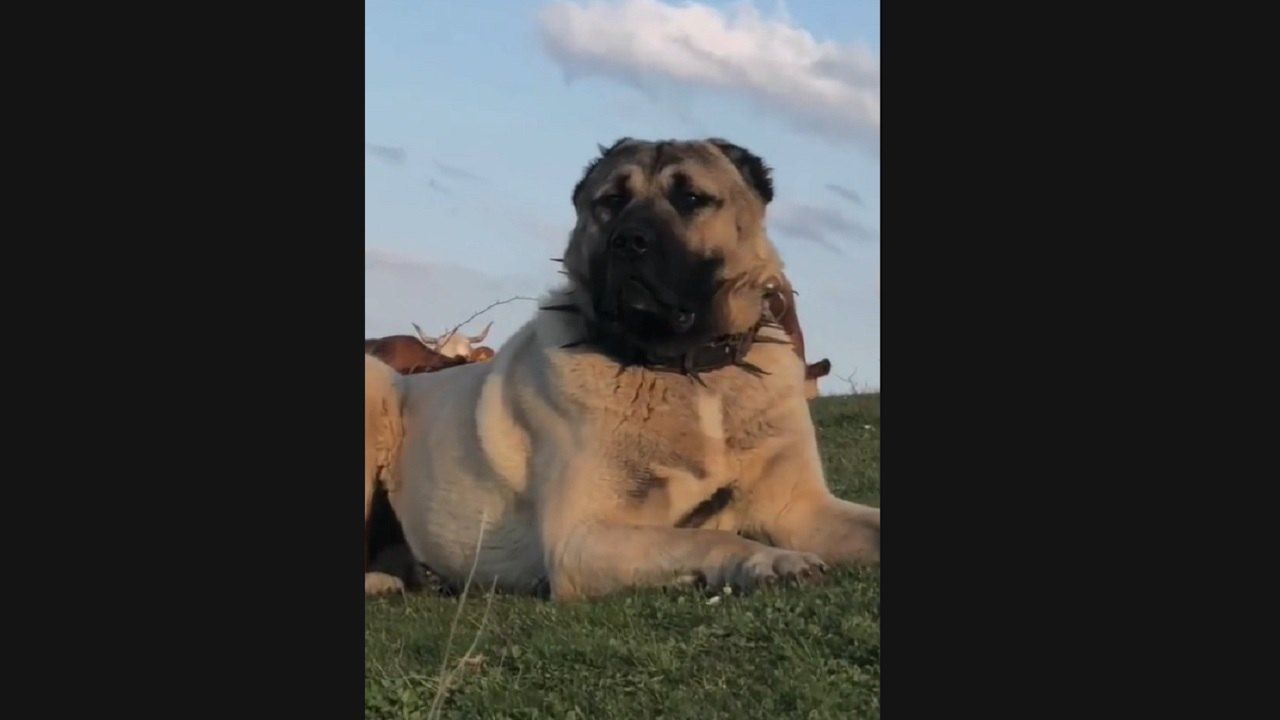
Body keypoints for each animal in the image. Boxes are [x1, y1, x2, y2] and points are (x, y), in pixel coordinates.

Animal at [366, 137, 875, 597]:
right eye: (611, 201)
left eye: (691, 198)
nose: (629, 241)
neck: (688, 369)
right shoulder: (582, 537)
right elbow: (707, 537)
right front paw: (772, 560)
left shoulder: (801, 508)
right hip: (376, 381)